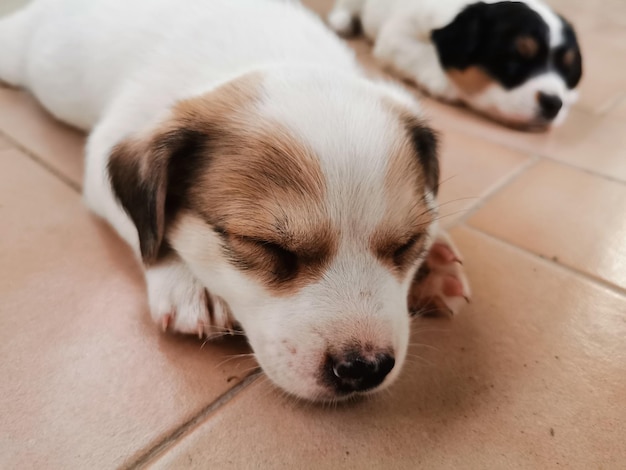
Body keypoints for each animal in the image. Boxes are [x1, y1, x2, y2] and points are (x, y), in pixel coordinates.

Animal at [1, 0, 468, 402]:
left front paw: (434, 261)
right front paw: (186, 282)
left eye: (407, 244)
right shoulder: (104, 149)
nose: (366, 367)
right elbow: (146, 233)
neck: (268, 54)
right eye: (266, 245)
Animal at [330, 0, 584, 130]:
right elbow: (422, 56)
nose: (553, 103)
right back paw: (342, 20)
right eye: (513, 59)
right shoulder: (397, 36)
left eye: (568, 70)